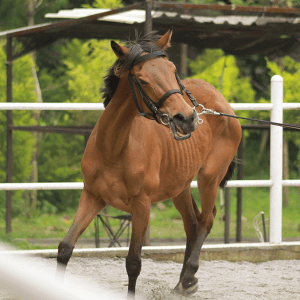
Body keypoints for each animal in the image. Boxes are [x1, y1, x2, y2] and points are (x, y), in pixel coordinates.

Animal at [57, 28, 243, 298]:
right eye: (142, 80)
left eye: (173, 70)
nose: (186, 119)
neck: (114, 147)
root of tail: (220, 104)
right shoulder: (92, 196)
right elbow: (65, 248)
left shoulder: (142, 204)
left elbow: (133, 262)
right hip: (180, 187)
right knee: (192, 224)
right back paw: (181, 284)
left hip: (209, 178)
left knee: (206, 220)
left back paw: (189, 278)